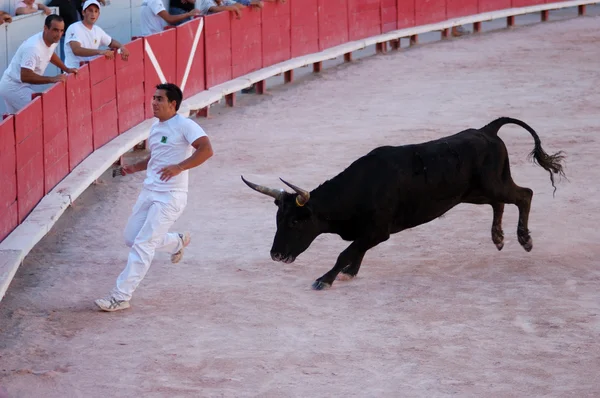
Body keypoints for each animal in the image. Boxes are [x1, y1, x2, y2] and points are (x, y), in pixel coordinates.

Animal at [241, 116, 564, 290]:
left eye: (296, 222)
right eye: (278, 220)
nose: (276, 255)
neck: (358, 189)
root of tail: (487, 129)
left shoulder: (378, 231)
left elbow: (346, 251)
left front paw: (324, 279)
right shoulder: (369, 233)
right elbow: (355, 251)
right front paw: (348, 273)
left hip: (492, 185)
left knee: (525, 194)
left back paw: (524, 240)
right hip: (476, 192)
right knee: (502, 203)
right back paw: (498, 238)